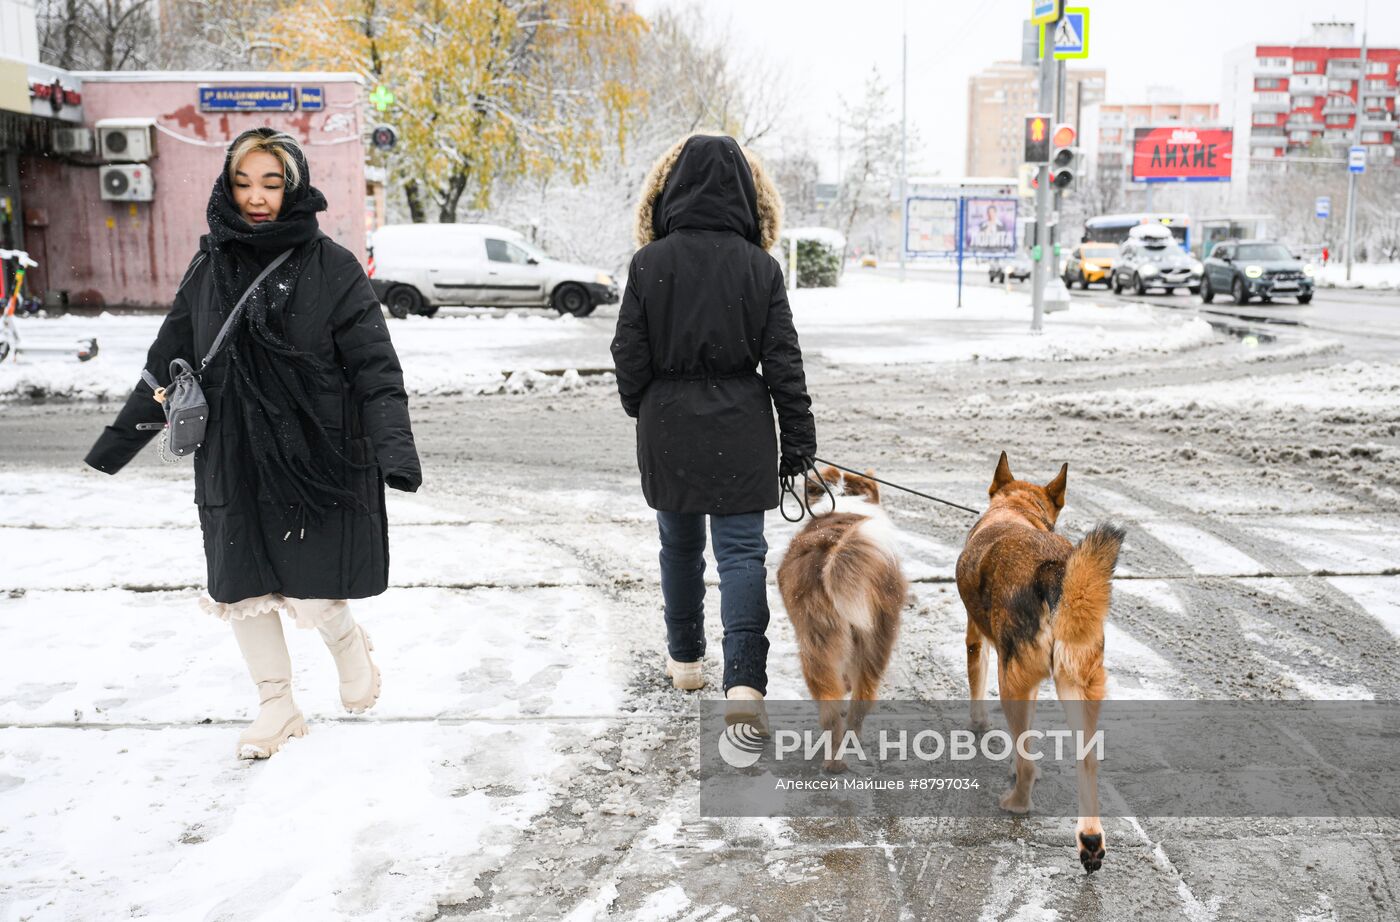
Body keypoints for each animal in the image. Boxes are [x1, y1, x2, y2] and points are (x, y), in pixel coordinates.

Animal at [778, 464, 907, 777]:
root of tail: (835, 549)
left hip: (816, 642)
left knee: (830, 708)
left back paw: (834, 759)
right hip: (877, 637)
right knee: (860, 702)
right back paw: (847, 748)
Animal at [952, 453, 1125, 873]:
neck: (1016, 509)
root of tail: (1052, 570)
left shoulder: (981, 645)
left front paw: (981, 727)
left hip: (1010, 682)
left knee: (1030, 765)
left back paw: (1017, 803)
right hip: (1079, 686)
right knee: (1087, 762)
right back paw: (1090, 841)